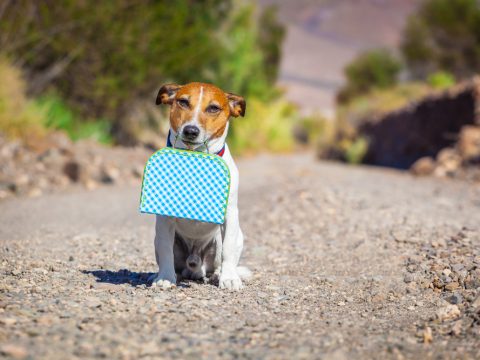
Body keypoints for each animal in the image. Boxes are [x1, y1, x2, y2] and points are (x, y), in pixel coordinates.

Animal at [151, 81, 249, 290]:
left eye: (213, 108)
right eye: (183, 102)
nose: (191, 130)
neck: (196, 160)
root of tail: (195, 264)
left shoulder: (229, 213)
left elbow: (228, 250)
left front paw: (229, 278)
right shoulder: (164, 218)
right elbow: (165, 249)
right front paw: (165, 278)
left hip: (229, 238)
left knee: (221, 258)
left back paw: (218, 274)